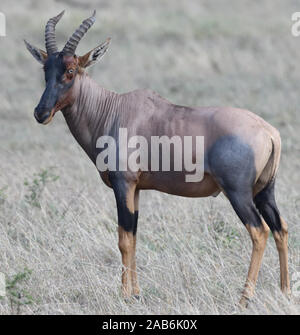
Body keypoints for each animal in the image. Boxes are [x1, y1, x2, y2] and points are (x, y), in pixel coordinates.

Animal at [25, 9, 290, 308]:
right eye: (46, 70)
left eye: (70, 71)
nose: (41, 113)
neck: (114, 109)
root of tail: (270, 132)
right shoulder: (137, 188)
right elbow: (134, 236)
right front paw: (137, 293)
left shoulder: (123, 183)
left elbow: (123, 238)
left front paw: (125, 295)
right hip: (264, 191)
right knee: (280, 228)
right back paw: (285, 292)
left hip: (238, 192)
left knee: (259, 231)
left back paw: (244, 298)